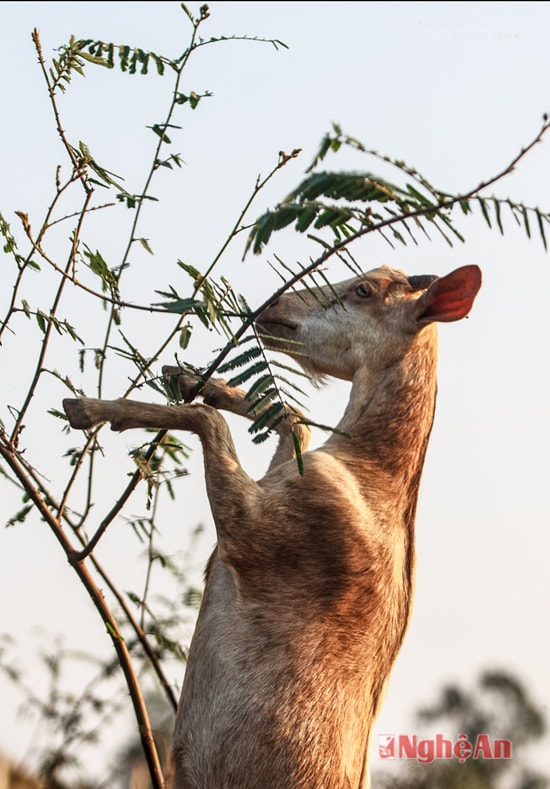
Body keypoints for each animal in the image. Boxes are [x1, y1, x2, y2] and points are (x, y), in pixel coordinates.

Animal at [61, 264, 484, 788]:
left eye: (363, 289)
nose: (272, 306)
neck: (371, 472)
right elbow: (292, 419)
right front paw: (193, 378)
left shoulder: (265, 530)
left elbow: (211, 422)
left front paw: (92, 408)